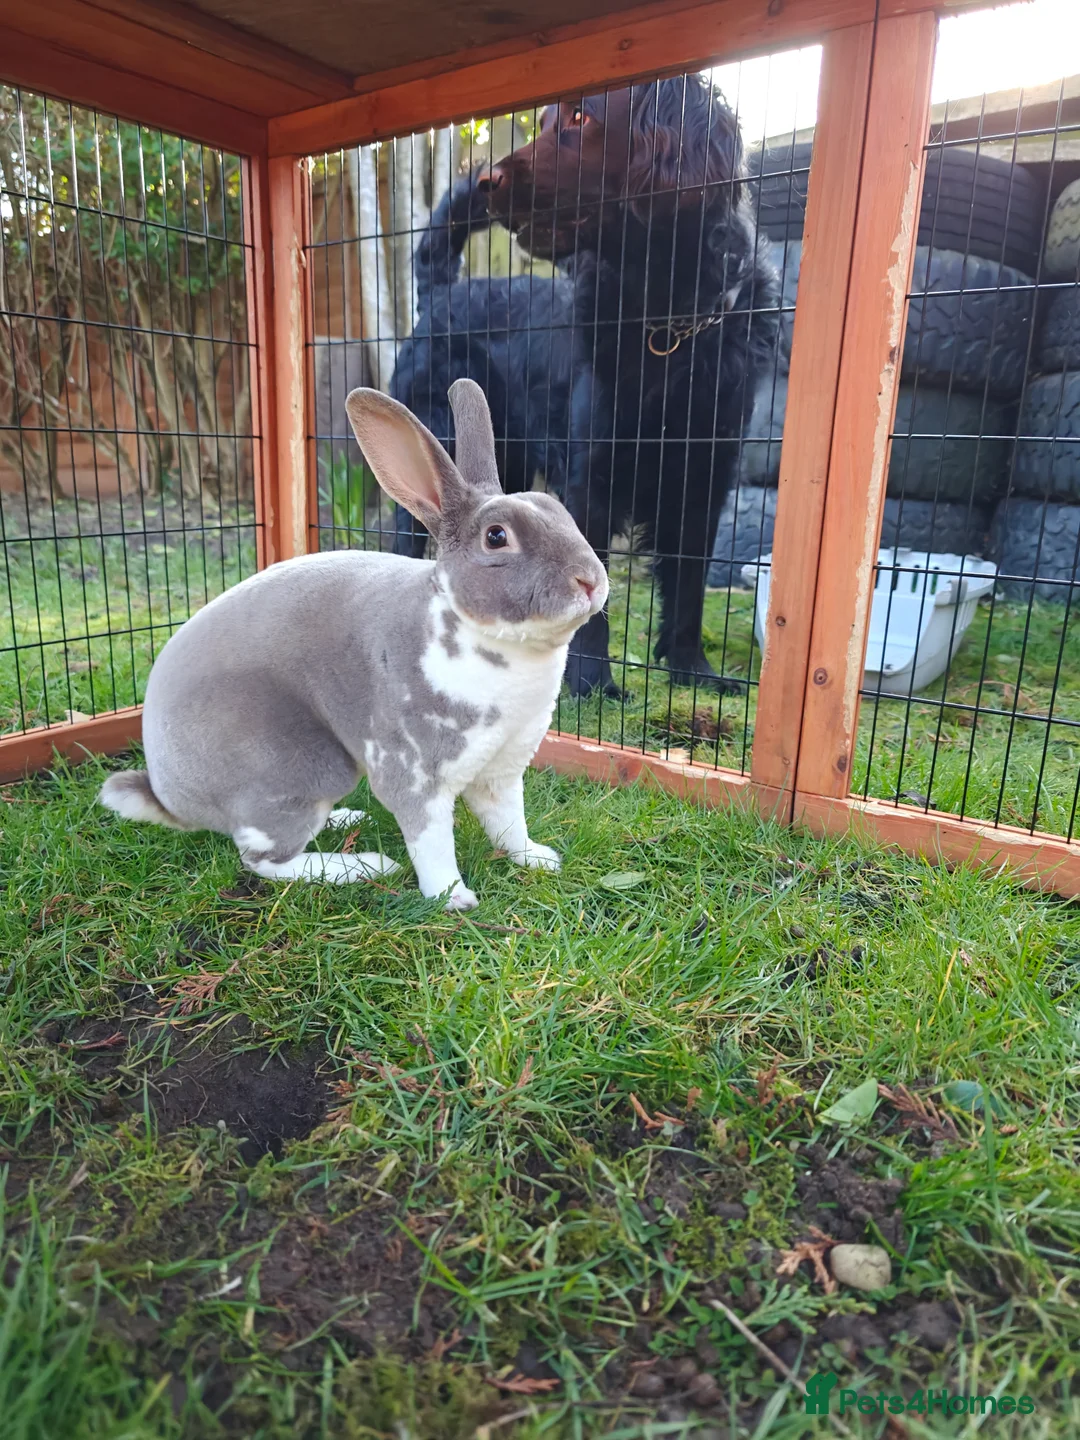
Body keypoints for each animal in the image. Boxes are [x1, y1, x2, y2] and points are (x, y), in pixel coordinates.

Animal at [99, 379, 608, 911]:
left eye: (560, 511)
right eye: (496, 537)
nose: (590, 580)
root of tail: (169, 797)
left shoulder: (502, 770)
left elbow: (509, 823)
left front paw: (538, 859)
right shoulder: (414, 776)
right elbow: (431, 843)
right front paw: (453, 898)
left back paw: (347, 820)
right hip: (296, 770)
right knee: (264, 859)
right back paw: (365, 866)